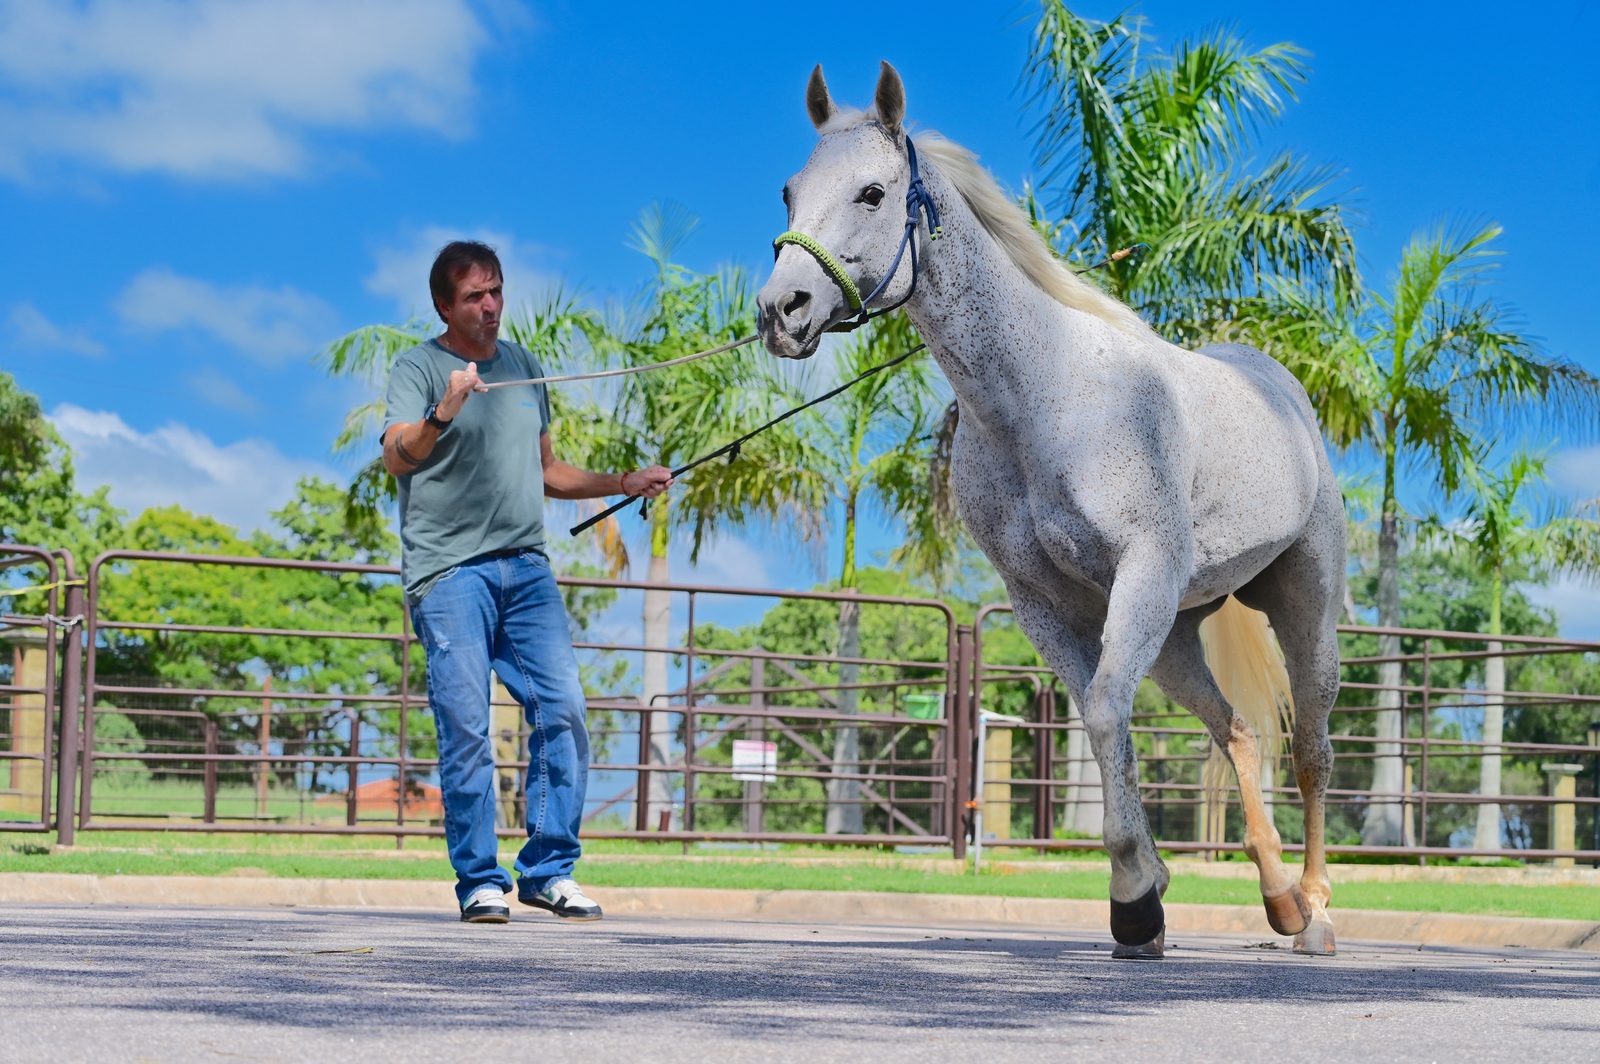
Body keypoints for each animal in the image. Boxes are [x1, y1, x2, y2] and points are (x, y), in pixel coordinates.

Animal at [756, 62, 1344, 958]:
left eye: (871, 191)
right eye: (790, 190)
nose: (780, 309)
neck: (1045, 399)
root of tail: (1279, 389)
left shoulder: (1139, 575)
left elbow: (1102, 714)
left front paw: (1135, 898)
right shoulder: (1046, 604)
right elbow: (1105, 722)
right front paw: (1144, 896)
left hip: (1301, 607)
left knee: (1311, 751)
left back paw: (1314, 914)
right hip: (1177, 634)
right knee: (1238, 731)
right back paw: (1277, 898)